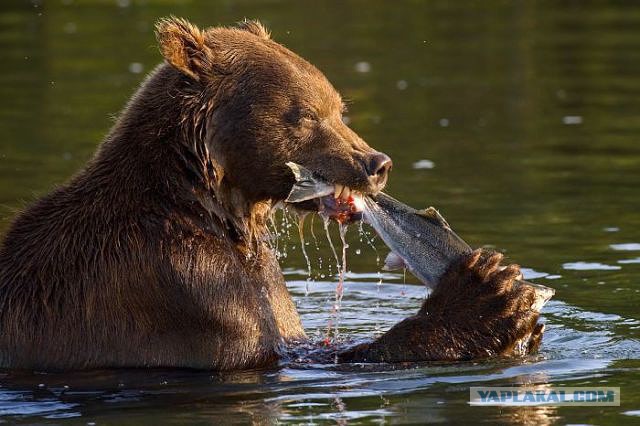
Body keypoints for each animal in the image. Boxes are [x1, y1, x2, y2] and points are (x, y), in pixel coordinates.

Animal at [0, 17, 544, 370]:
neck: (215, 206)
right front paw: (492, 291)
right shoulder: (182, 285)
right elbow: (276, 353)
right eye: (303, 114)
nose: (376, 164)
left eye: (339, 107)